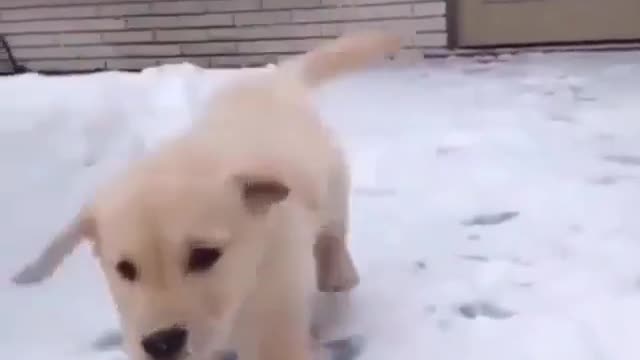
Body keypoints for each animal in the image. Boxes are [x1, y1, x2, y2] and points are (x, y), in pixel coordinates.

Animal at [12, 31, 402, 360]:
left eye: (204, 256)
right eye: (125, 269)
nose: (162, 344)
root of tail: (274, 79)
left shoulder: (275, 317)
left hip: (331, 180)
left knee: (333, 232)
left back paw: (338, 272)